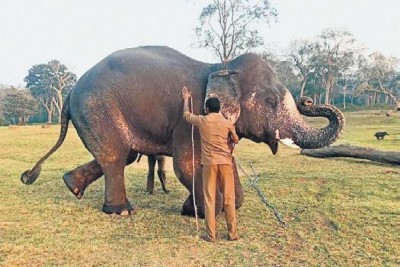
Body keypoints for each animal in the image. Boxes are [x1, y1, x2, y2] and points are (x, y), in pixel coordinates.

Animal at [20, 45, 346, 218]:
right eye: (271, 101)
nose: (308, 100)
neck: (221, 66)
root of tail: (71, 90)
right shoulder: (190, 119)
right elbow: (187, 165)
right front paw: (203, 212)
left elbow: (223, 161)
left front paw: (208, 208)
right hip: (96, 108)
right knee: (115, 157)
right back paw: (121, 211)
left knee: (123, 155)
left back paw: (72, 186)